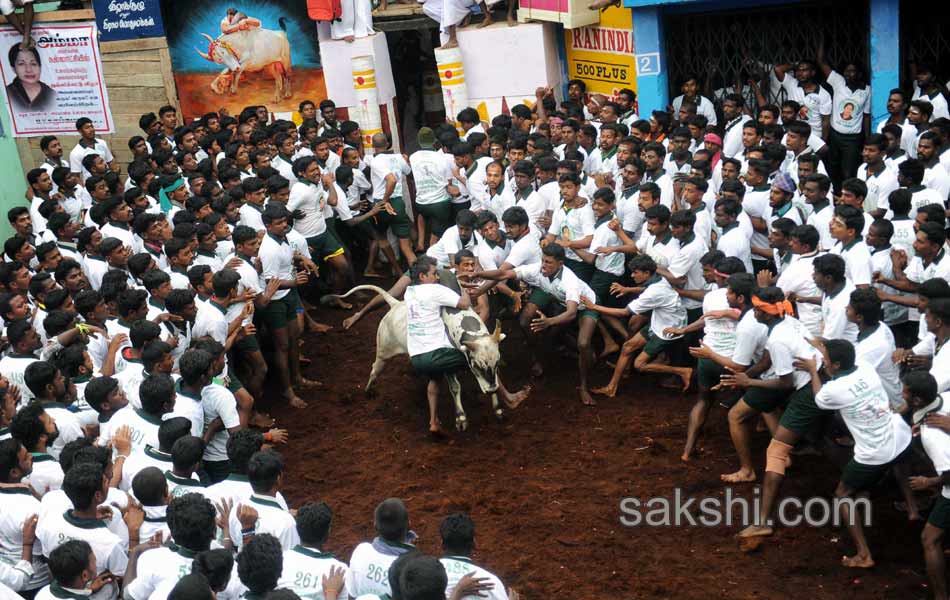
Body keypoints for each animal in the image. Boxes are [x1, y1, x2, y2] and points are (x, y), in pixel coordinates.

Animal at [340, 284, 510, 428]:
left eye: (496, 362)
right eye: (476, 365)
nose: (491, 390)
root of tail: (395, 304)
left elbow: (495, 378)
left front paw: (498, 409)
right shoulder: (448, 366)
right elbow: (455, 387)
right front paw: (461, 418)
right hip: (383, 352)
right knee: (375, 369)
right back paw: (368, 390)